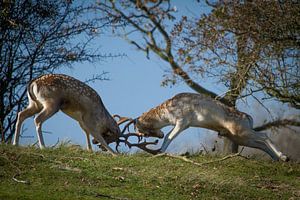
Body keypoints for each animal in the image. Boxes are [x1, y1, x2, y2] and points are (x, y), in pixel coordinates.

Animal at [119, 93, 288, 161]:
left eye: (143, 131)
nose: (157, 136)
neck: (168, 112)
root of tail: (249, 118)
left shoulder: (183, 121)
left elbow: (170, 136)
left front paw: (160, 151)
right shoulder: (183, 124)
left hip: (241, 131)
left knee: (264, 136)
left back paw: (283, 157)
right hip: (239, 137)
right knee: (260, 144)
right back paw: (276, 159)